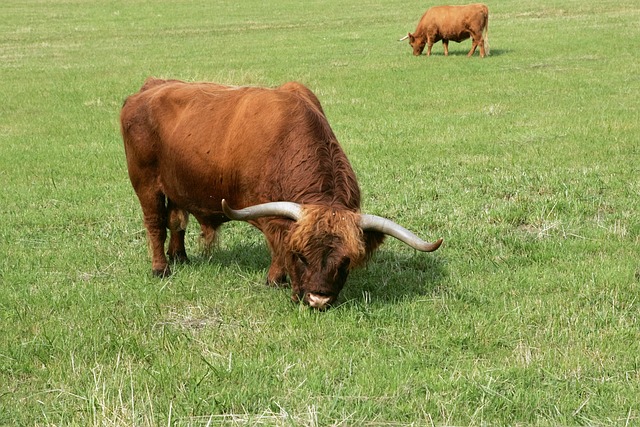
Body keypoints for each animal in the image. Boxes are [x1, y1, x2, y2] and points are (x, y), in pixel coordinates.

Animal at [120, 78, 442, 309]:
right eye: (300, 256)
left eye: (345, 262)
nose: (318, 299)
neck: (287, 143)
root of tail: (149, 87)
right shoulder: (272, 216)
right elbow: (278, 246)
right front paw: (277, 280)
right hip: (146, 184)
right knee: (155, 225)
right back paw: (161, 268)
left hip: (176, 187)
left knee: (177, 221)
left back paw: (180, 257)